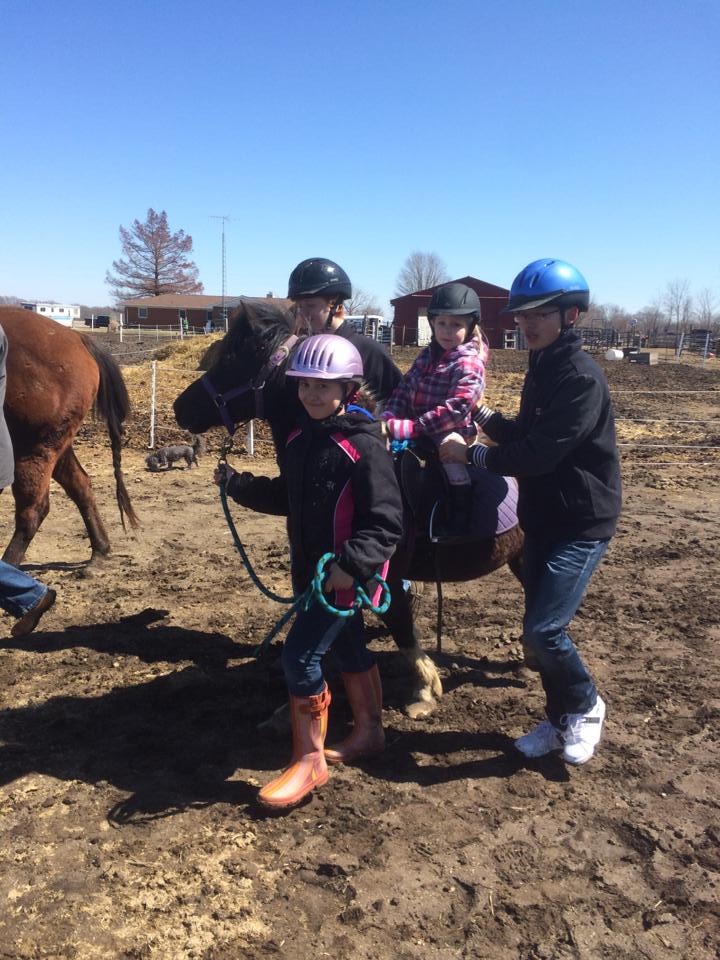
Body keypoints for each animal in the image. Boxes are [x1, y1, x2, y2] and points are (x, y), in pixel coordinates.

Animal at [0, 306, 139, 564]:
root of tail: (78, 338)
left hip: (35, 448)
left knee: (33, 510)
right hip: (56, 445)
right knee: (81, 486)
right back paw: (100, 549)